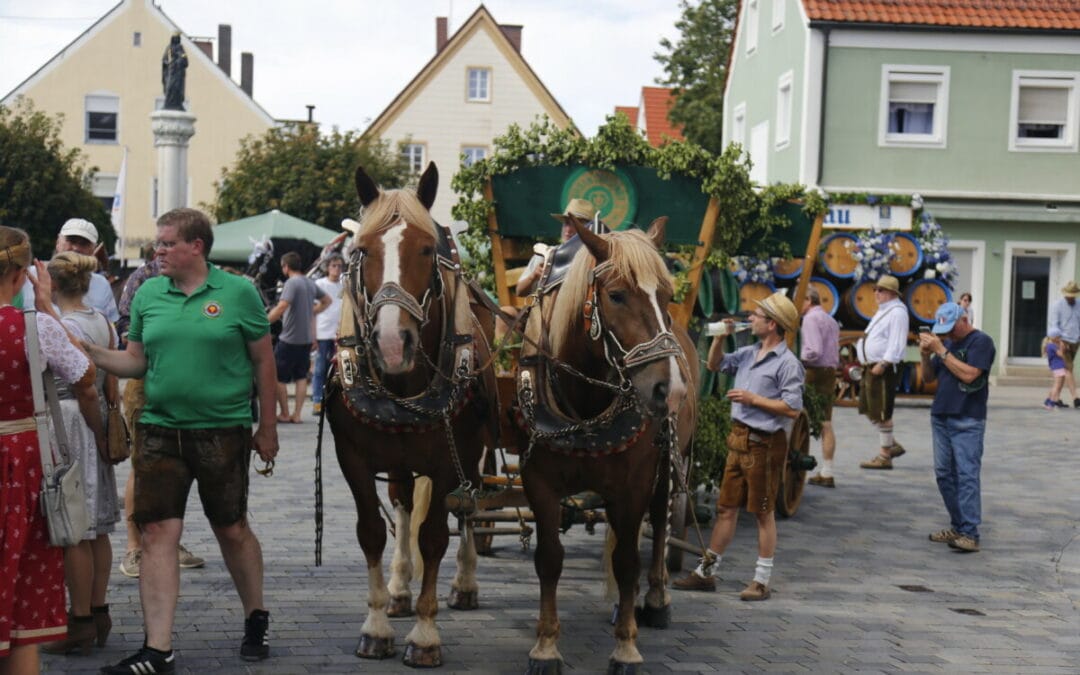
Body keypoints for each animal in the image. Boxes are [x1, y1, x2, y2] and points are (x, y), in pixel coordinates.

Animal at [326, 164, 498, 669]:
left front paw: (425, 635)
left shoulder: (446, 461)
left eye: (426, 249)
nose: (390, 344)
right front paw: (377, 625)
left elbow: (435, 538)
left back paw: (464, 584)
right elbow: (371, 534)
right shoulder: (353, 458)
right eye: (362, 250)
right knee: (402, 503)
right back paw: (400, 590)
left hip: (473, 453)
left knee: (469, 505)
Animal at [516, 218, 699, 669]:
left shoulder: (633, 486)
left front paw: (626, 648)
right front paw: (546, 646)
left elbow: (628, 561)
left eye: (668, 296)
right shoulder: (539, 482)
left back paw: (655, 599)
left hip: (666, 466)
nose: (669, 389)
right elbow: (549, 559)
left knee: (660, 525)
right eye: (616, 295)